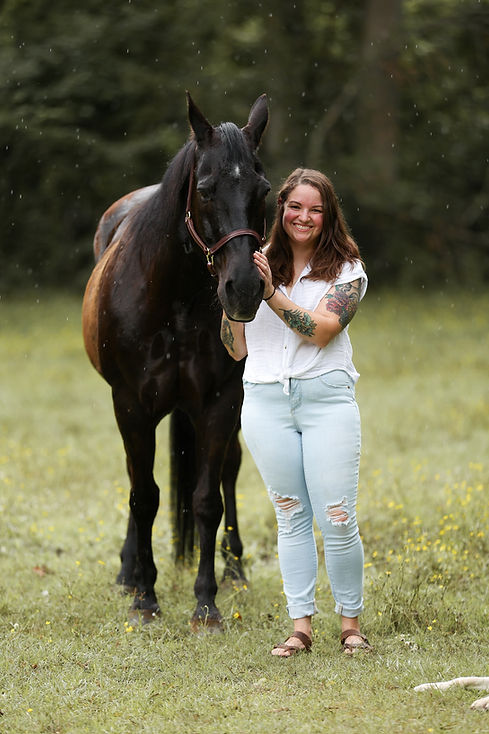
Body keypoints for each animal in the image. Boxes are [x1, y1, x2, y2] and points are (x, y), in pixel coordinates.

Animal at [82, 93, 270, 629]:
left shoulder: (220, 403)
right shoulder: (130, 404)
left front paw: (206, 602)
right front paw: (145, 596)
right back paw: (129, 573)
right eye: (204, 190)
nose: (244, 288)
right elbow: (144, 496)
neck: (176, 299)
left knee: (228, 471)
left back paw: (235, 570)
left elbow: (207, 499)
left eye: (264, 190)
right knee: (136, 481)